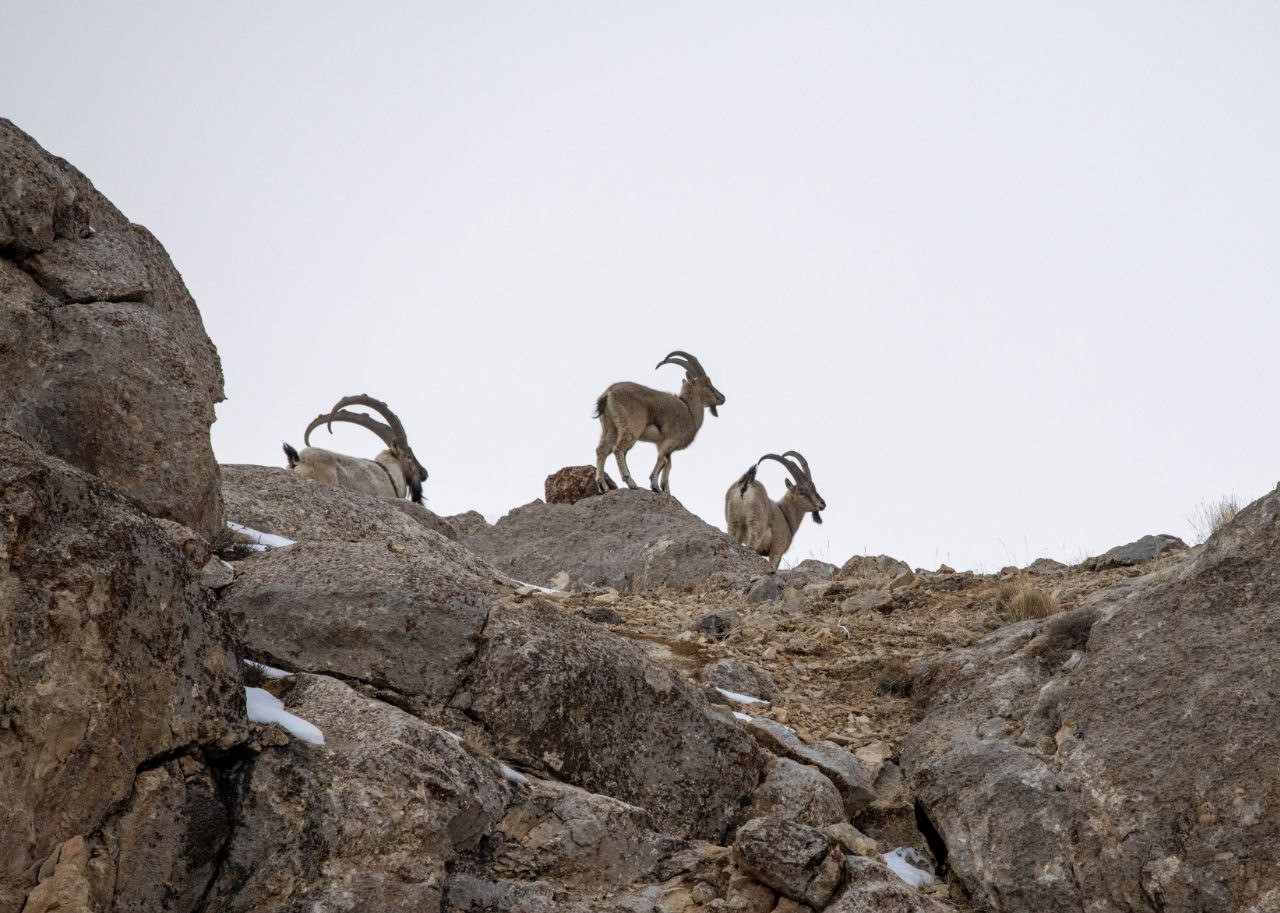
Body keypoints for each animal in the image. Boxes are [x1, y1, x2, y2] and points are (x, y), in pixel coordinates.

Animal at [593, 348, 727, 491]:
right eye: (707, 384)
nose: (722, 398)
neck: (690, 413)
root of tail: (608, 393)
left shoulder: (664, 446)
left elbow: (668, 464)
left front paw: (665, 489)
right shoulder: (669, 441)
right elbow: (663, 460)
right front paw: (655, 486)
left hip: (610, 427)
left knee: (601, 450)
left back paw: (602, 485)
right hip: (632, 427)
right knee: (618, 449)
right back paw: (630, 482)